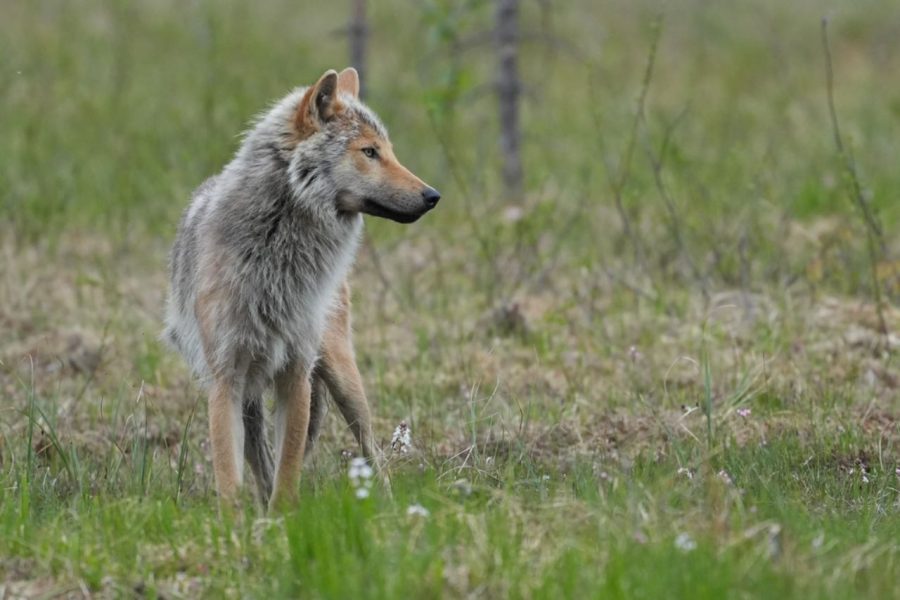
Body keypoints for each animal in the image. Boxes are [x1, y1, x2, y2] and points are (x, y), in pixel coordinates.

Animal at [162, 68, 440, 510]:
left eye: (390, 152)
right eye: (370, 152)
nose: (433, 196)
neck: (278, 256)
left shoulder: (296, 374)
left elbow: (288, 471)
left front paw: (284, 520)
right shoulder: (225, 380)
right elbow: (230, 477)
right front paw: (235, 524)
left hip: (341, 377)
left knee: (371, 448)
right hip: (252, 400)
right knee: (259, 461)